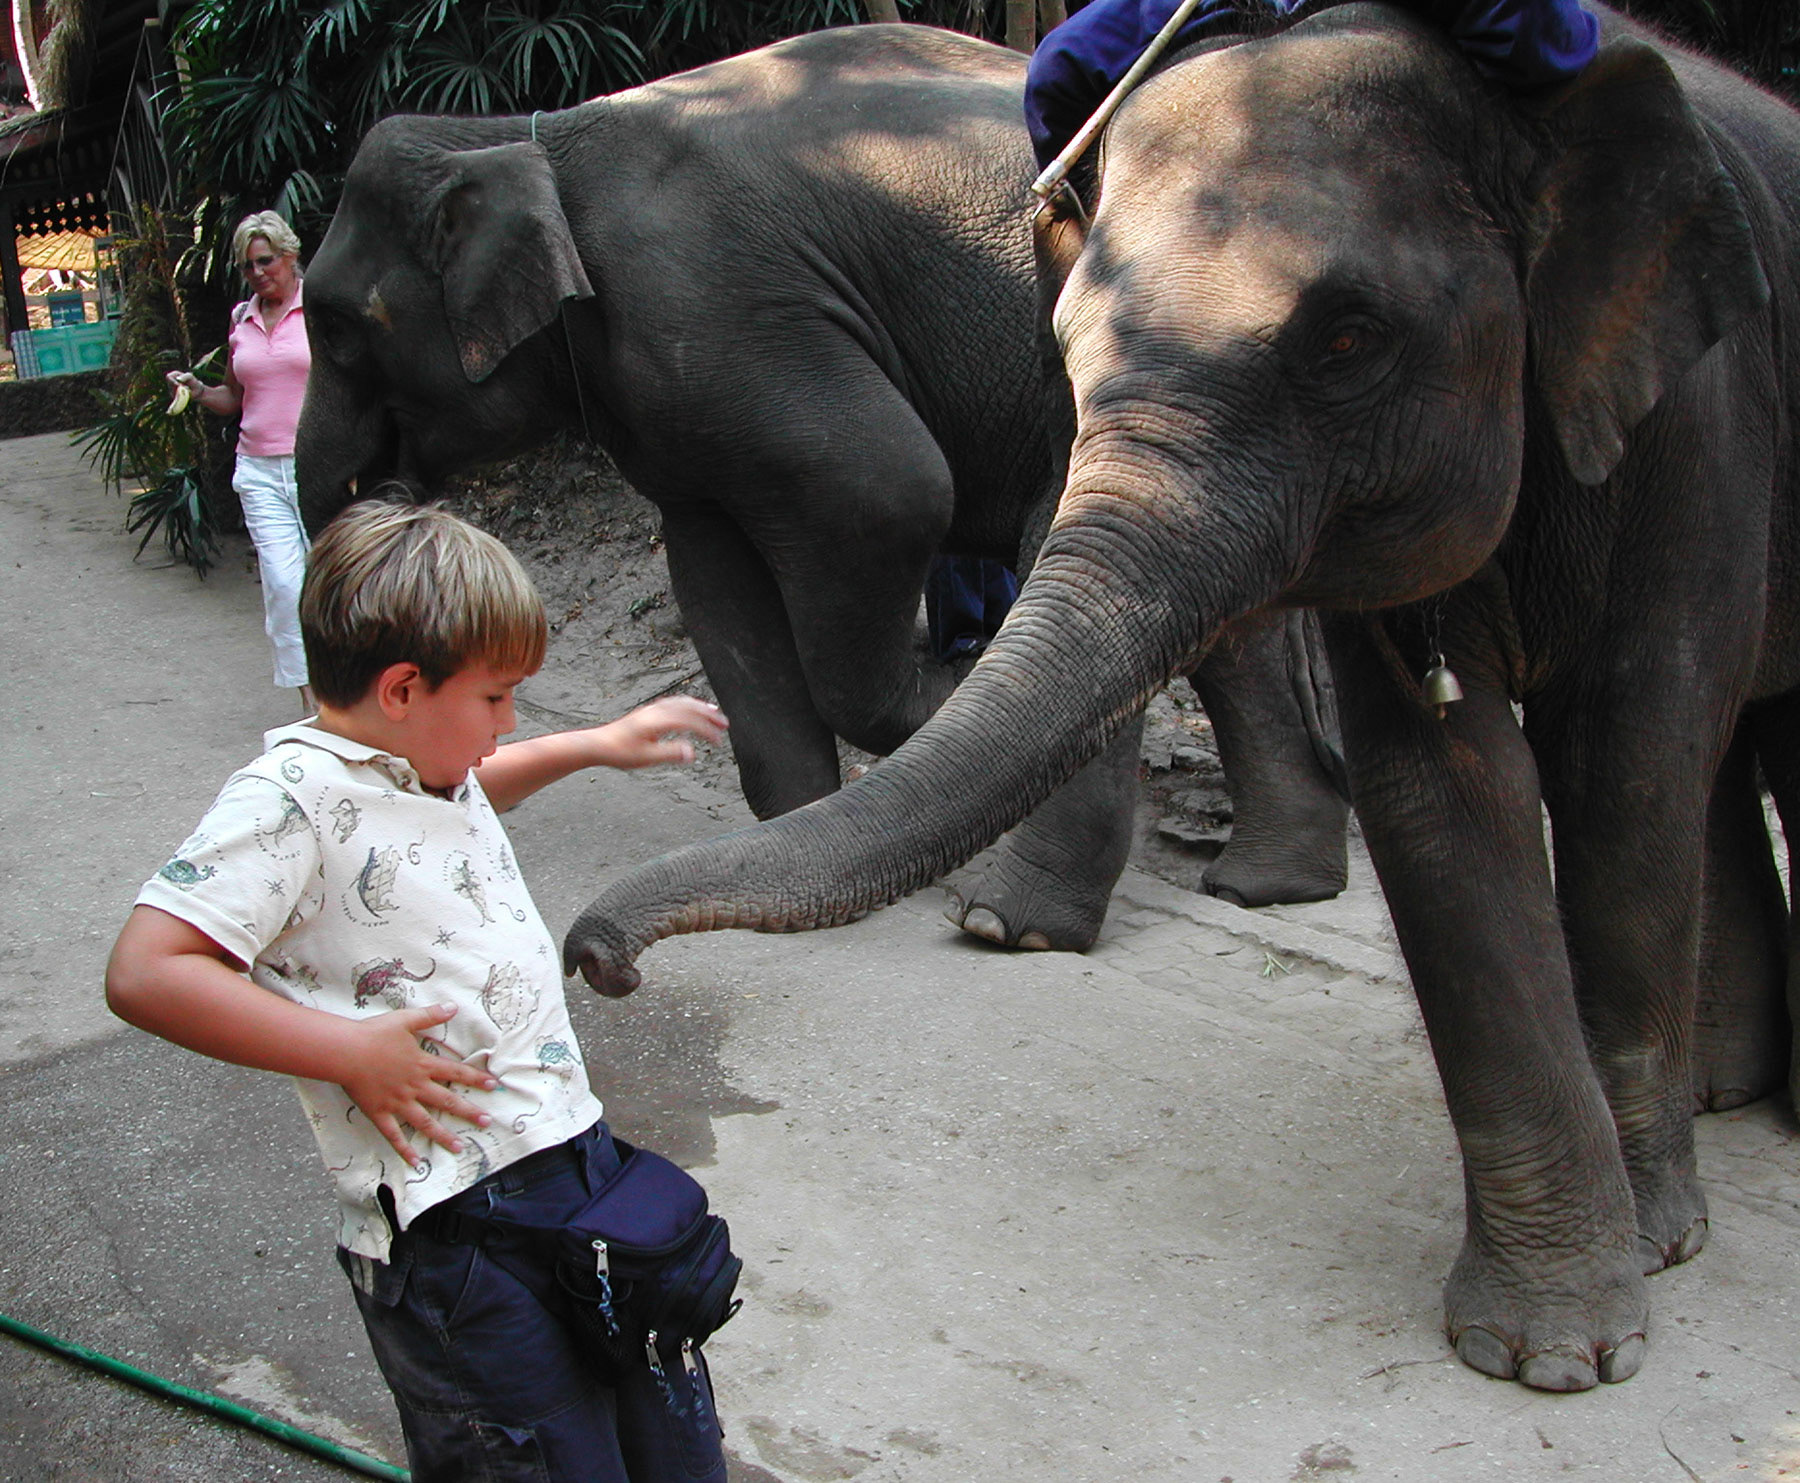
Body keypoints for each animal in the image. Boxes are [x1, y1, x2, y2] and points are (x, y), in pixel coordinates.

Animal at [293, 23, 1351, 955]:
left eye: (337, 329)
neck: (532, 132)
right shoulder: (677, 410)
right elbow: (711, 576)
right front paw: (795, 835)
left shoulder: (720, 308)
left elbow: (885, 488)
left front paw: (941, 699)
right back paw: (1267, 884)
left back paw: (1010, 925)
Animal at [564, 3, 1800, 1392]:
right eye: (1063, 345)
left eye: (1349, 337)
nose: (596, 960)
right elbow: (1440, 794)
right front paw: (1544, 1339)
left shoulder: (1704, 419)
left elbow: (1628, 759)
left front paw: (1628, 1286)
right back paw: (1727, 1093)